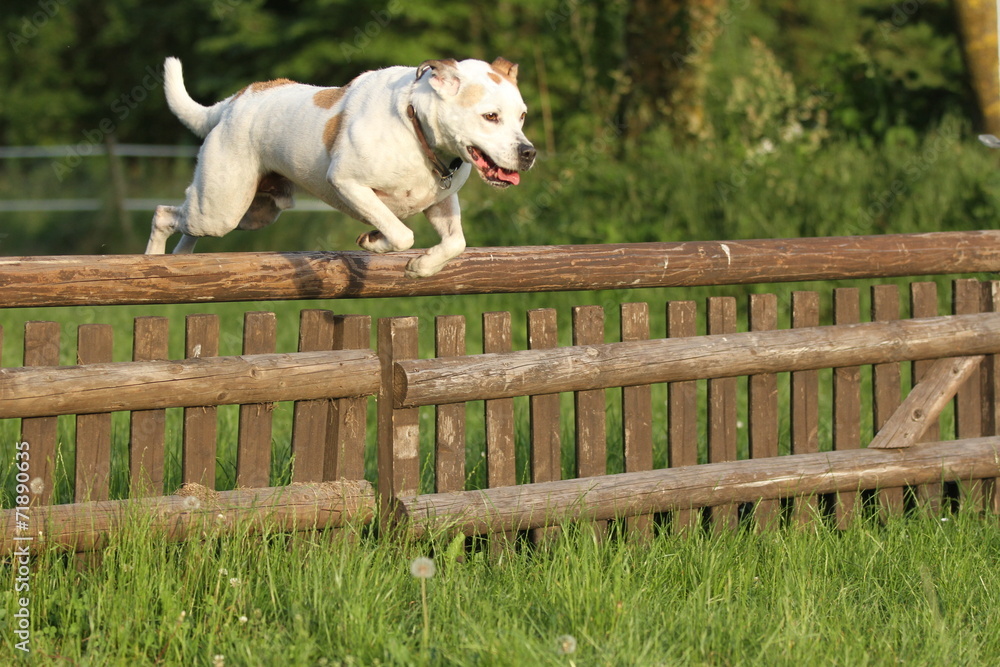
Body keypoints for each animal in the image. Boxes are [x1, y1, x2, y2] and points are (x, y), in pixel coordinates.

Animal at [146, 56, 536, 278]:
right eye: (490, 116)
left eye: (522, 116)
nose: (528, 152)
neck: (416, 127)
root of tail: (235, 101)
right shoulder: (349, 183)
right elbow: (402, 234)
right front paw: (377, 242)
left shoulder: (441, 203)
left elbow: (456, 241)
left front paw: (422, 266)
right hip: (221, 206)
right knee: (165, 213)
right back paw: (153, 258)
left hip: (252, 212)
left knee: (187, 224)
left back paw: (180, 262)